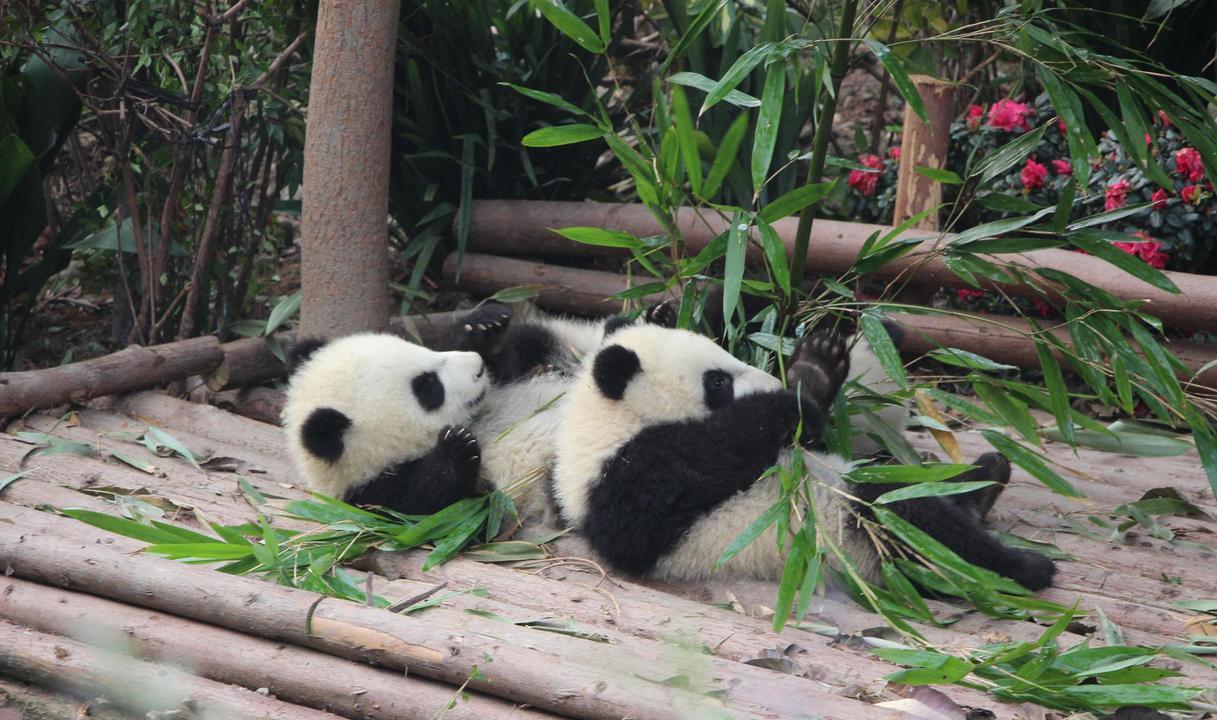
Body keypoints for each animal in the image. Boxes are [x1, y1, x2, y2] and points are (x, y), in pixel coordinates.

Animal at [283, 335, 489, 515]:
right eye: (428, 384)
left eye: (427, 349)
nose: (478, 364)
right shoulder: (374, 500)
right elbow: (429, 504)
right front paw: (458, 444)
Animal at [550, 325, 1056, 591]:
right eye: (718, 381)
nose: (771, 381)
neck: (603, 426)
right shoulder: (626, 478)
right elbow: (704, 460)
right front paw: (791, 402)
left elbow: (808, 439)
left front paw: (812, 371)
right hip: (851, 535)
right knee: (901, 513)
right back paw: (1020, 567)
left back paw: (986, 478)